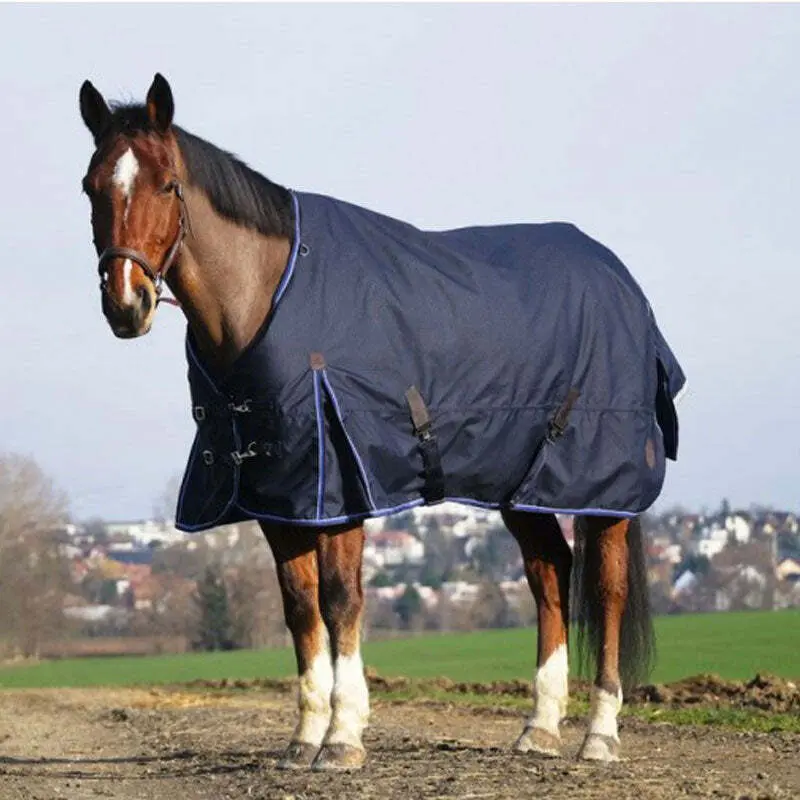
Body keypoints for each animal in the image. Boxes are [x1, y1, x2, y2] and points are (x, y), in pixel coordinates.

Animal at [79, 74, 684, 771]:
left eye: (168, 184)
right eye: (91, 186)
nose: (126, 304)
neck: (269, 294)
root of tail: (624, 283)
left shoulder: (341, 484)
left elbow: (341, 599)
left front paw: (343, 737)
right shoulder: (281, 495)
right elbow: (300, 607)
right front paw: (304, 738)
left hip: (600, 485)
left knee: (606, 590)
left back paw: (599, 734)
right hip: (523, 487)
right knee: (550, 576)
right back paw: (539, 728)